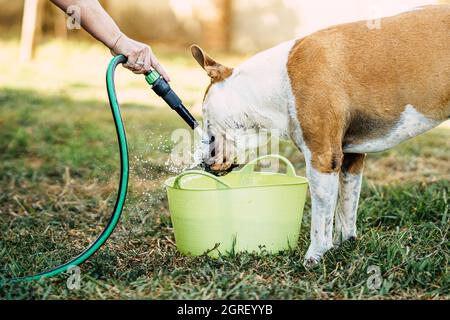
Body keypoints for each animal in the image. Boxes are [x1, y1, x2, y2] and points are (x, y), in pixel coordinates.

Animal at [191, 5, 450, 266]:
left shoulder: (322, 158)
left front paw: (315, 255)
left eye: (206, 119)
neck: (275, 84)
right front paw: (345, 243)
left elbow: (320, 216)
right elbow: (346, 207)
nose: (202, 160)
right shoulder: (351, 157)